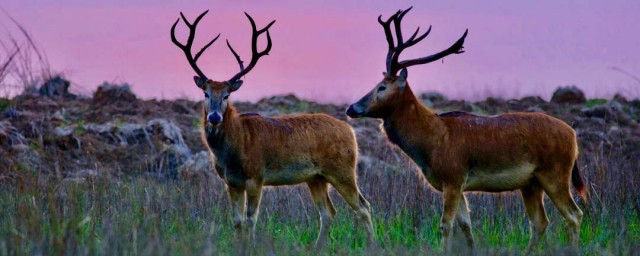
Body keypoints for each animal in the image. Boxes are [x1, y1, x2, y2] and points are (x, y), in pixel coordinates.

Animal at [170, 11, 376, 247]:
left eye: (227, 95)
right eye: (205, 93)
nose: (214, 117)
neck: (235, 146)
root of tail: (350, 130)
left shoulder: (256, 175)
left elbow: (251, 219)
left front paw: (250, 246)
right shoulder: (231, 182)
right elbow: (237, 221)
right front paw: (239, 245)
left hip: (342, 169)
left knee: (363, 206)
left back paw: (372, 244)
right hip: (316, 177)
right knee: (328, 212)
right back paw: (317, 247)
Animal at [348, 6, 588, 254]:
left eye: (382, 87)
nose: (351, 108)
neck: (431, 143)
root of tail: (573, 136)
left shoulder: (453, 176)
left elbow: (445, 225)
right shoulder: (457, 184)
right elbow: (466, 225)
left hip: (555, 172)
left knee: (574, 214)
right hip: (531, 182)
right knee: (540, 221)